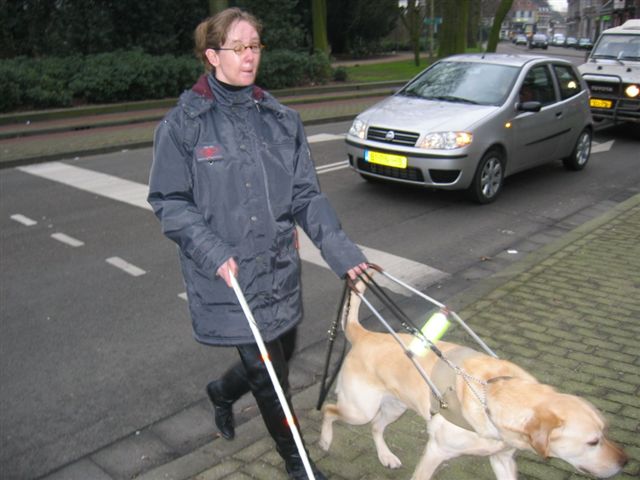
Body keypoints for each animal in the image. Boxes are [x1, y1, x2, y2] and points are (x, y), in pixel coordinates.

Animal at [318, 280, 628, 478]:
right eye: (592, 442)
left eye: (606, 432)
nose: (625, 462)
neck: (494, 398)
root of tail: (365, 334)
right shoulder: (435, 451)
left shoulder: (503, 459)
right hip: (359, 408)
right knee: (331, 411)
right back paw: (324, 440)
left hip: (395, 406)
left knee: (375, 427)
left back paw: (386, 456)